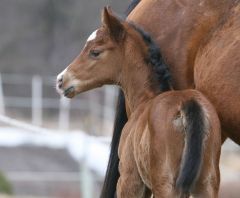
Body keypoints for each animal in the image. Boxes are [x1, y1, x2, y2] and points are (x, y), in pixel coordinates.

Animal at [56, 7, 221, 196]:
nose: (61, 80)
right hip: (207, 185)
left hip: (165, 186)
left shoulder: (129, 180)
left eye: (95, 52)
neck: (145, 100)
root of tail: (188, 104)